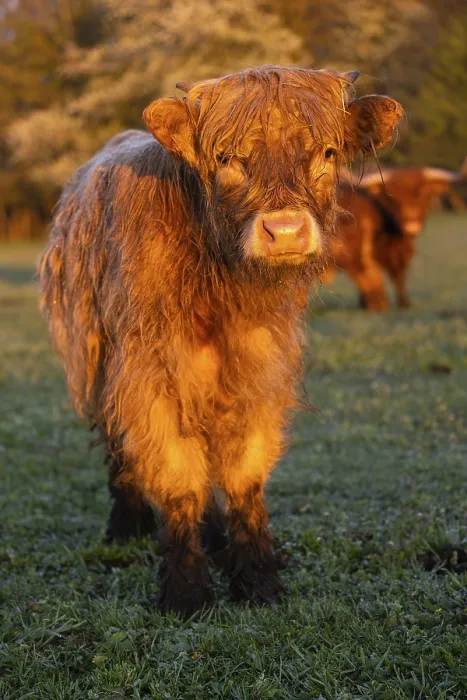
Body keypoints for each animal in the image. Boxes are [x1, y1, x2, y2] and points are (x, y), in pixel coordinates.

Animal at [39, 66, 403, 614]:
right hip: (95, 359)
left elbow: (244, 474)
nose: (285, 231)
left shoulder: (260, 367)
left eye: (327, 152)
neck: (220, 288)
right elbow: (176, 476)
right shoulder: (150, 375)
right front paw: (186, 591)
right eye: (226, 158)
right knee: (117, 443)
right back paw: (126, 525)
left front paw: (257, 579)